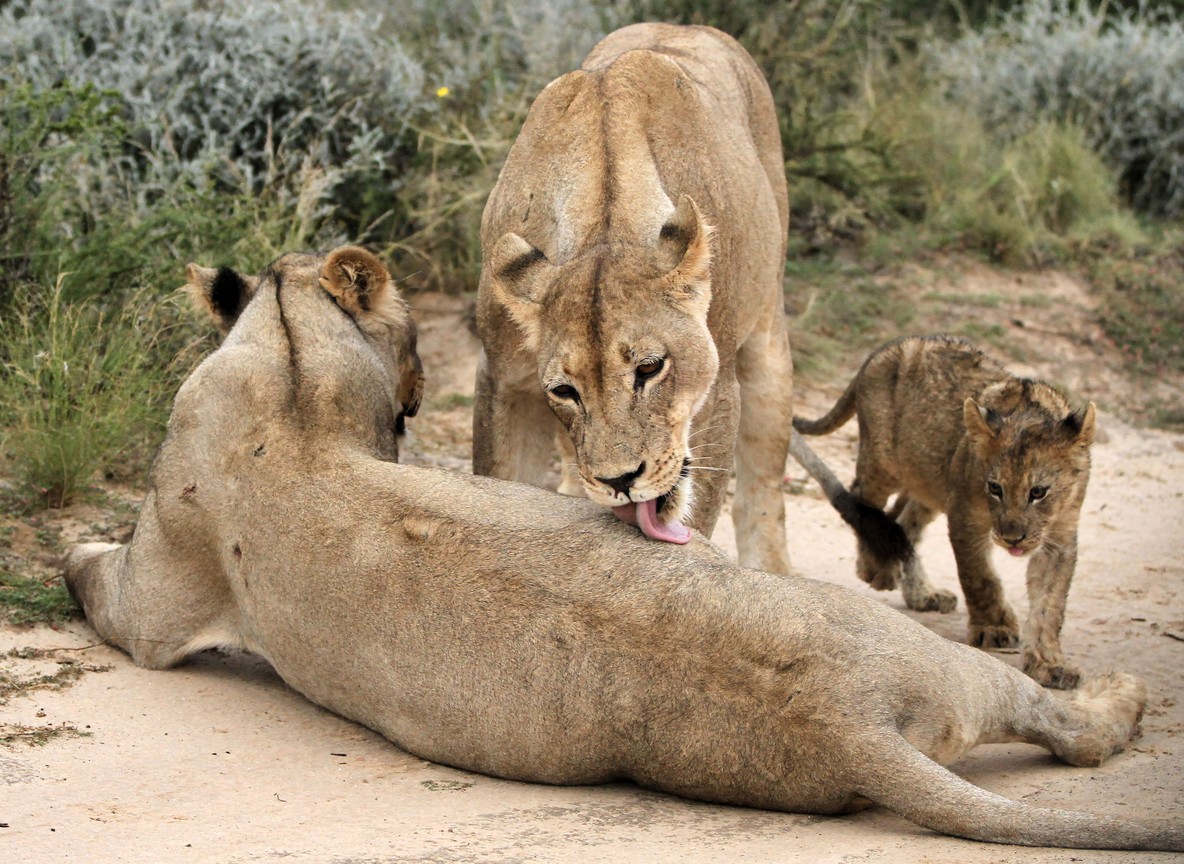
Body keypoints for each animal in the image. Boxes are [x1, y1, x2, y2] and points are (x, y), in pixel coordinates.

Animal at [474, 23, 796, 574]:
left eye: (650, 369)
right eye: (564, 391)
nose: (620, 481)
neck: (604, 223)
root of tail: (687, 25)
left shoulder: (719, 397)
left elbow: (696, 520)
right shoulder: (503, 379)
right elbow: (498, 485)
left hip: (768, 335)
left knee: (764, 487)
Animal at [794, 335, 1097, 689]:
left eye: (1038, 492)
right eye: (995, 488)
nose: (1012, 539)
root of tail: (884, 350)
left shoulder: (1060, 536)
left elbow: (1050, 604)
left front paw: (1050, 664)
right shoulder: (966, 516)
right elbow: (980, 577)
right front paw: (994, 628)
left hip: (929, 482)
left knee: (903, 522)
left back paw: (922, 593)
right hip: (883, 461)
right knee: (860, 499)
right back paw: (876, 568)